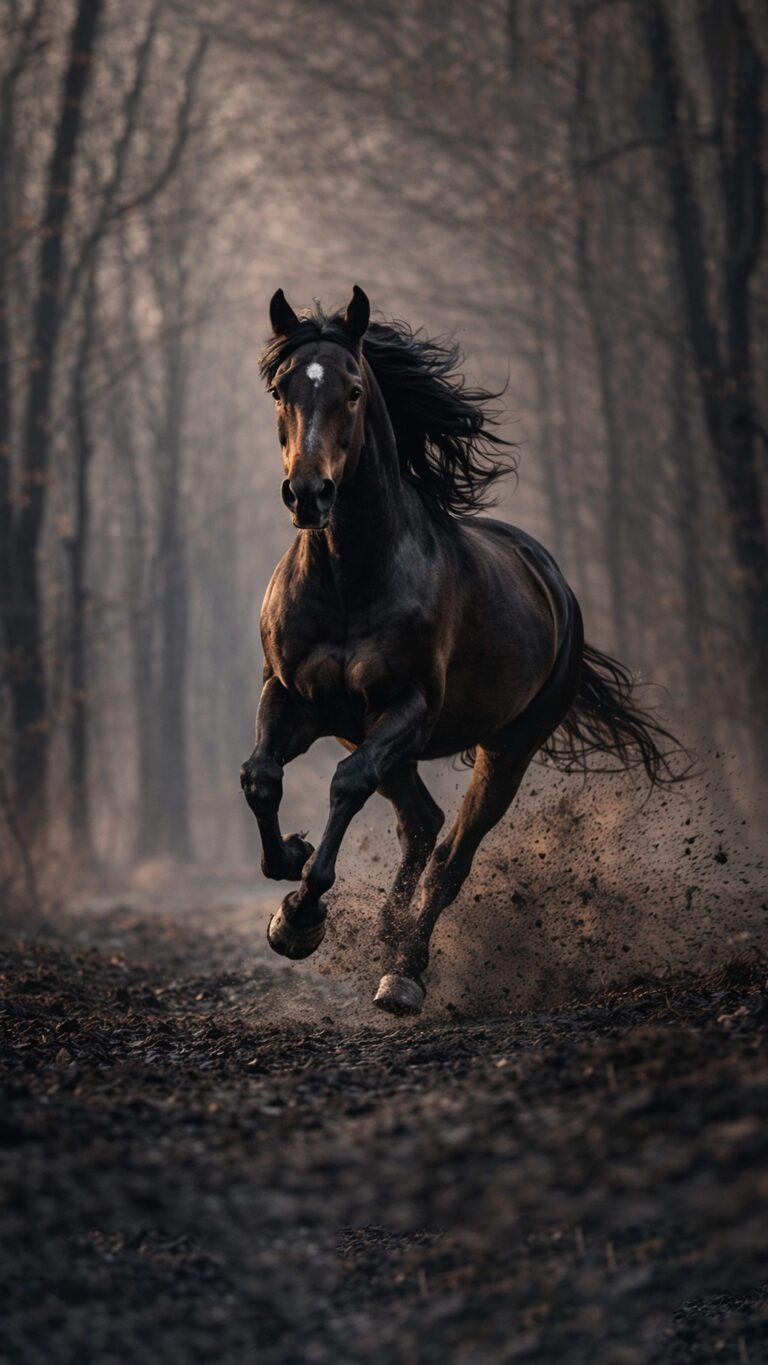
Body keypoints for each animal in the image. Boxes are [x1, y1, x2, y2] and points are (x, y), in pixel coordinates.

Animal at [240, 286, 681, 1016]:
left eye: (353, 390)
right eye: (281, 389)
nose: (308, 494)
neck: (348, 578)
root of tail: (555, 584)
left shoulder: (407, 708)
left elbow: (346, 784)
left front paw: (304, 913)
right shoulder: (295, 697)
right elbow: (261, 777)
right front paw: (291, 874)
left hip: (505, 750)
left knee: (451, 856)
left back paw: (404, 973)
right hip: (374, 734)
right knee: (423, 824)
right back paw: (387, 933)